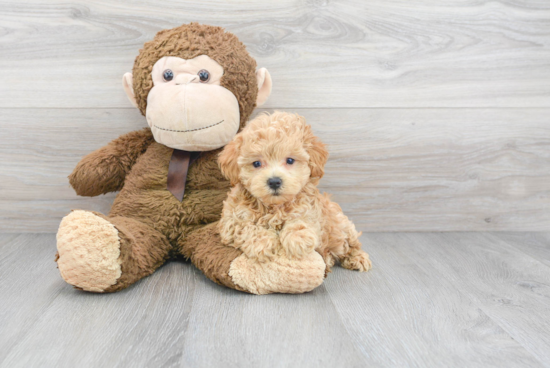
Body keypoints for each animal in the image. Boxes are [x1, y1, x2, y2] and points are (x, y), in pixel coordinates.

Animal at [218, 112, 374, 274]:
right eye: (256, 163)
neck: (275, 207)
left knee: (350, 244)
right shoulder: (230, 221)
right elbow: (245, 227)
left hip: (340, 225)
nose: (274, 181)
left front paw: (298, 238)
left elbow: (302, 219)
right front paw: (262, 242)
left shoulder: (310, 208)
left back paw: (357, 258)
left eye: (290, 160)